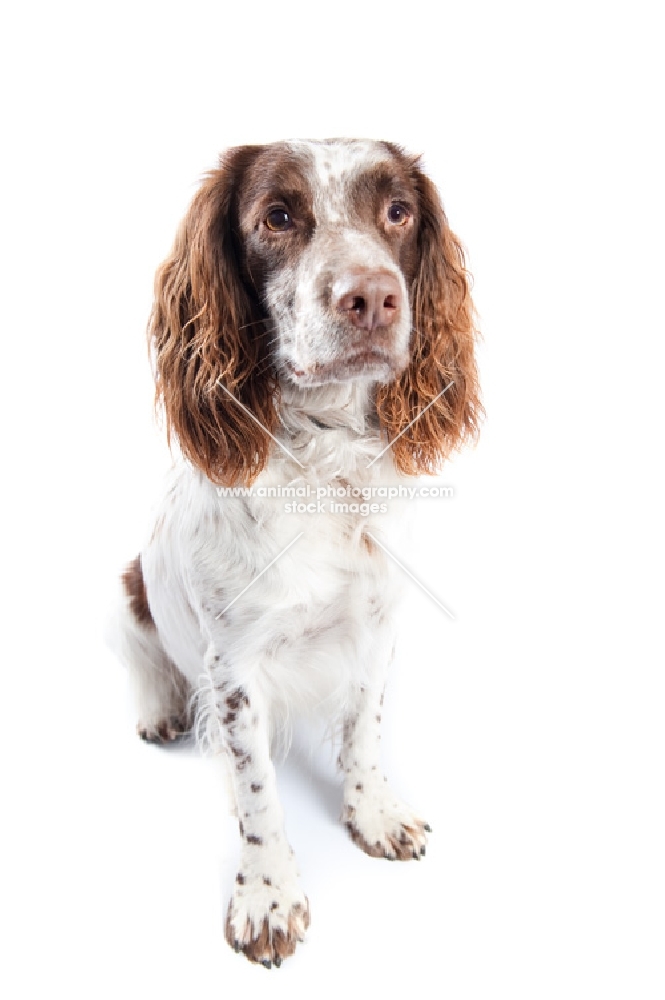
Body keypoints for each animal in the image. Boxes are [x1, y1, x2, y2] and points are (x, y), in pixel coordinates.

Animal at [114, 137, 478, 964]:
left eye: (398, 211)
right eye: (277, 216)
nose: (371, 297)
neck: (325, 468)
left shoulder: (377, 624)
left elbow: (365, 728)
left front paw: (372, 812)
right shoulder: (233, 664)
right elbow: (257, 795)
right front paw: (268, 894)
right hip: (129, 588)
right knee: (144, 658)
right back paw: (158, 710)